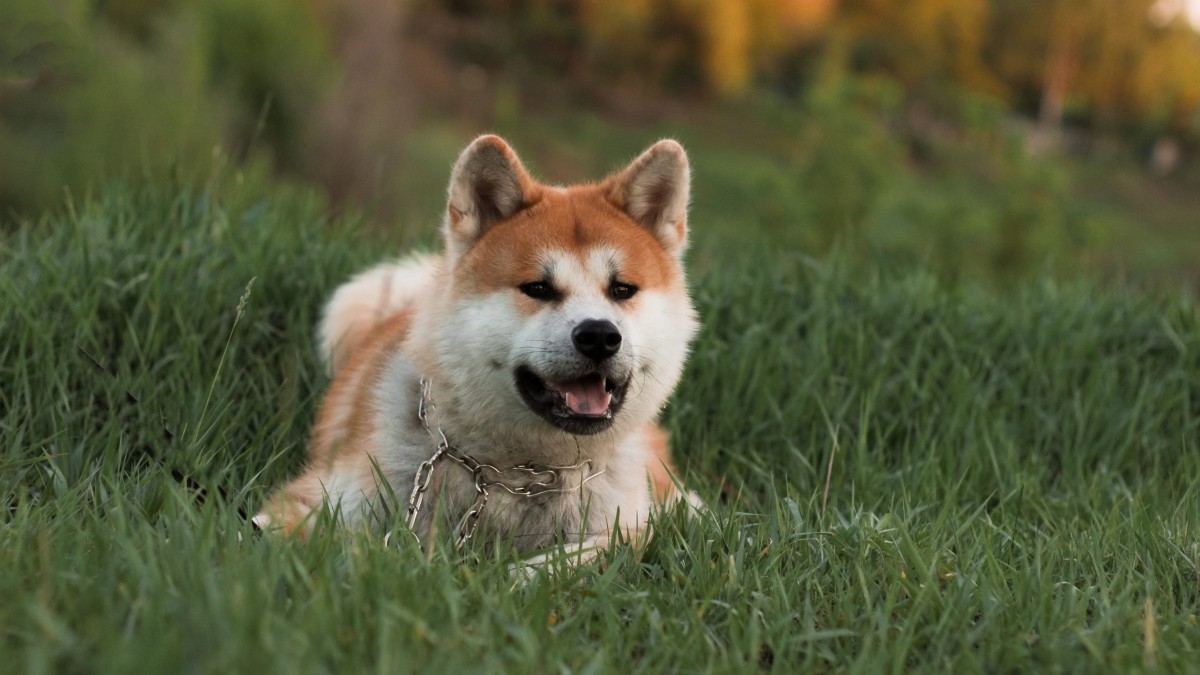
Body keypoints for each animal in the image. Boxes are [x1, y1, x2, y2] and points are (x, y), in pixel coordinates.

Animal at [255, 133, 700, 559]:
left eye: (622, 289)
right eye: (537, 288)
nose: (599, 336)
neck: (519, 474)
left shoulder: (629, 529)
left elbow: (557, 564)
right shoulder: (309, 501)